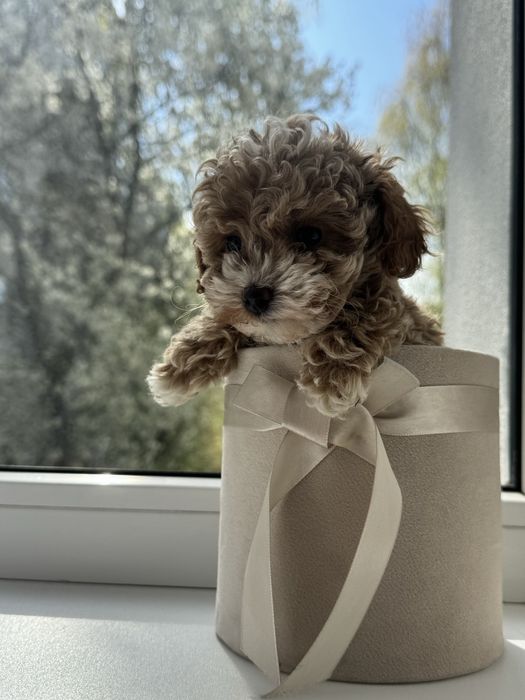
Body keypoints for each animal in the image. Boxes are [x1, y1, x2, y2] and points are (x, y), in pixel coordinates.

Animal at [147, 114, 442, 417]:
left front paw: (332, 375)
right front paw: (181, 364)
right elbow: (226, 318)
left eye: (311, 235)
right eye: (232, 243)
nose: (254, 296)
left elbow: (371, 310)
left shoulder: (406, 319)